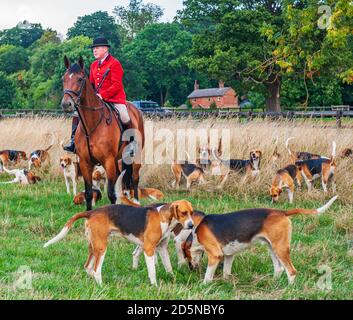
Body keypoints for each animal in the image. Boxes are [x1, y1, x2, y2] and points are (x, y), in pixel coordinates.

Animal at [60, 56, 144, 211]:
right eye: (63, 78)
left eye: (80, 79)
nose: (66, 104)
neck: (91, 125)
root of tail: (135, 109)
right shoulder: (85, 162)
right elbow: (88, 193)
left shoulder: (108, 161)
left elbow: (110, 193)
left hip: (135, 155)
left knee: (135, 177)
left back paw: (136, 201)